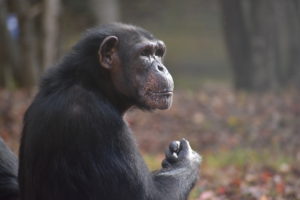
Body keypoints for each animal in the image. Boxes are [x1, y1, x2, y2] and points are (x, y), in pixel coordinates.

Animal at [1, 23, 202, 200]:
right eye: (145, 54)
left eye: (158, 53)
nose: (161, 67)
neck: (94, 85)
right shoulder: (99, 121)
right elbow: (149, 196)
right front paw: (188, 159)